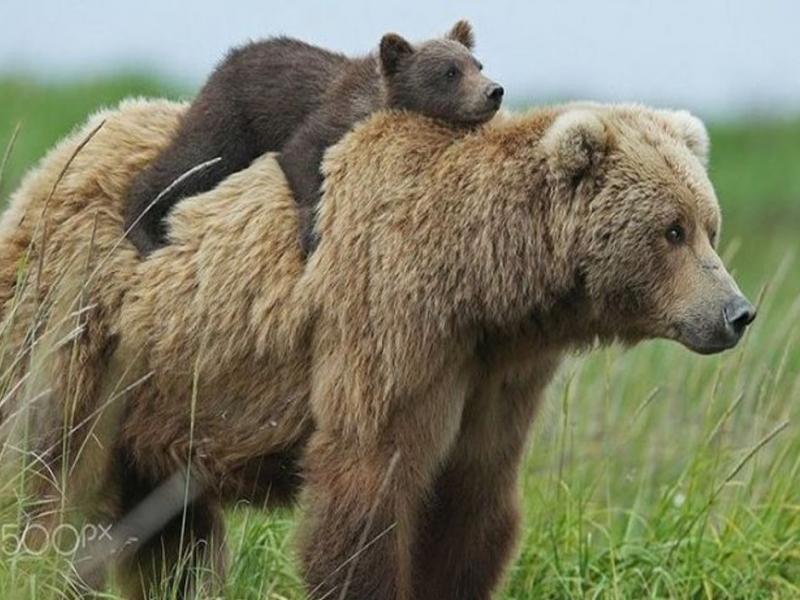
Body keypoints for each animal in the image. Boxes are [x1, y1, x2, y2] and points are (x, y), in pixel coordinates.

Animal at [0, 101, 752, 596]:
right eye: (672, 229)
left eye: (709, 224)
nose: (737, 312)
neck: (483, 285)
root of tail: (54, 160)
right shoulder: (391, 326)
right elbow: (367, 490)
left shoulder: (496, 375)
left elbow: (472, 503)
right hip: (81, 329)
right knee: (51, 477)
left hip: (162, 399)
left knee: (173, 534)